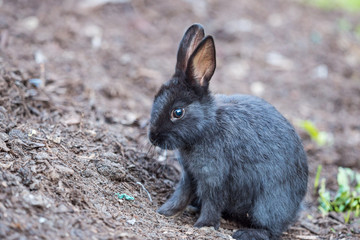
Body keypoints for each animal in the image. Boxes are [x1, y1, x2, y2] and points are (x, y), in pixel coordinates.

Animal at [148, 23, 308, 240]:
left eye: (177, 112)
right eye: (155, 99)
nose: (153, 137)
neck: (207, 127)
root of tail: (295, 208)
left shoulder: (214, 177)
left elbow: (212, 201)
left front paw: (204, 226)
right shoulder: (189, 175)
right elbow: (181, 194)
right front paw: (165, 211)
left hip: (267, 204)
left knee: (271, 230)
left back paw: (244, 233)